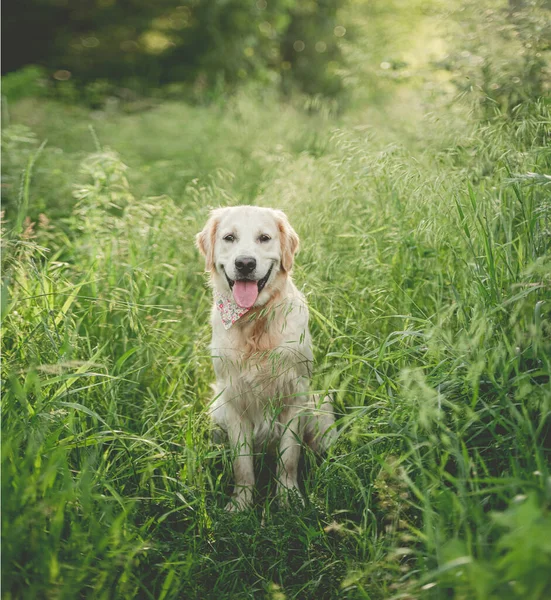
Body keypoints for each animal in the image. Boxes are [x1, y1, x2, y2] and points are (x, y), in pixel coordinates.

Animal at [198, 206, 336, 510]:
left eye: (264, 238)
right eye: (229, 237)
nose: (245, 263)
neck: (255, 322)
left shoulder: (295, 393)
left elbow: (289, 457)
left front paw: (288, 497)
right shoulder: (233, 399)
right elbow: (242, 464)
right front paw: (241, 503)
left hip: (320, 408)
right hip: (216, 410)